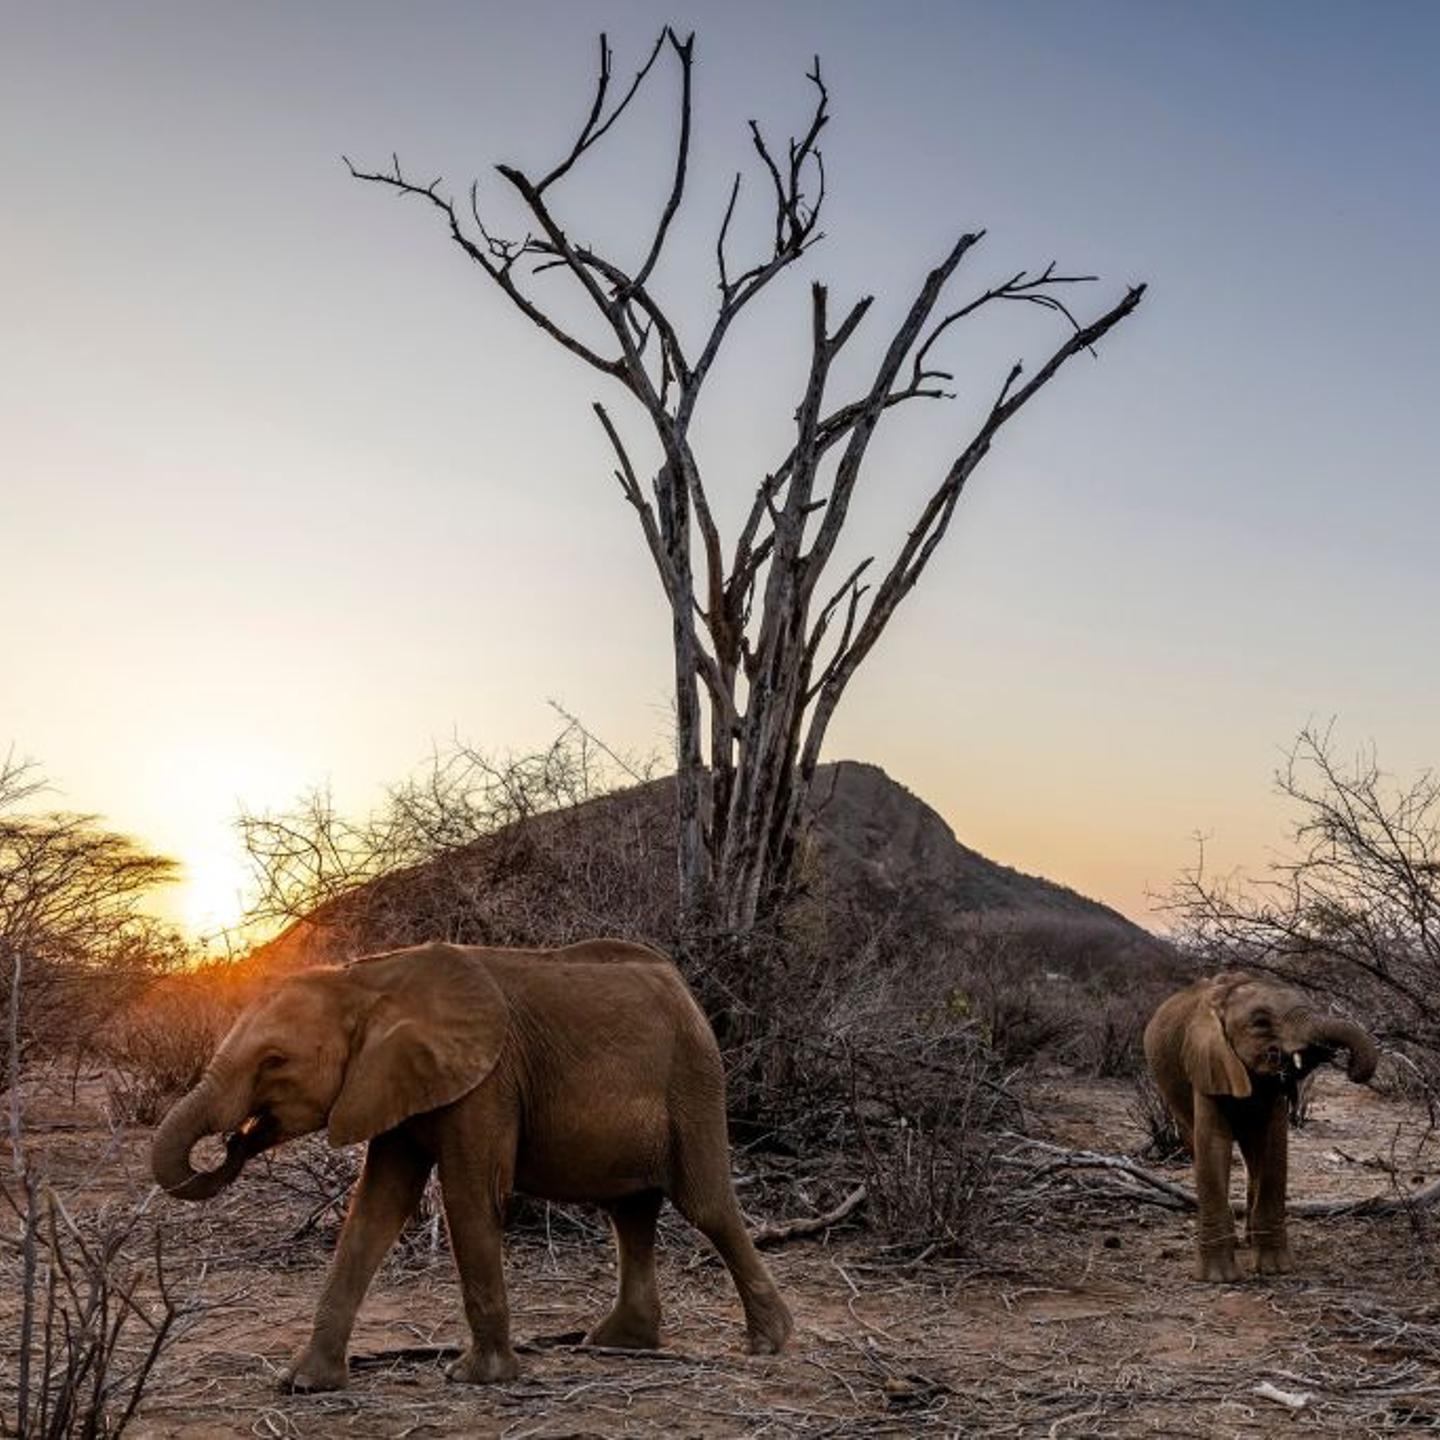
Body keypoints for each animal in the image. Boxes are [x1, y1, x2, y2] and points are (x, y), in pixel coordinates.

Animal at [151, 940, 793, 1390]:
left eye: (274, 1061)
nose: (235, 1141)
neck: (365, 981)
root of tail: (683, 986)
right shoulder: (392, 1081)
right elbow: (376, 1210)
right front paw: (303, 1383)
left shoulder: (486, 1082)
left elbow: (468, 1196)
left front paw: (474, 1378)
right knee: (629, 1213)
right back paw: (614, 1343)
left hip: (693, 1078)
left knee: (706, 1205)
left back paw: (770, 1343)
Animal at [1143, 971, 1378, 1282]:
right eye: (1260, 1022)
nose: (1350, 1068)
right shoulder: (1207, 1063)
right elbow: (1213, 1144)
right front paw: (1218, 1278)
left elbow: (1273, 1146)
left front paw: (1276, 1269)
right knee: (1197, 1144)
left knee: (1252, 1154)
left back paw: (1250, 1239)